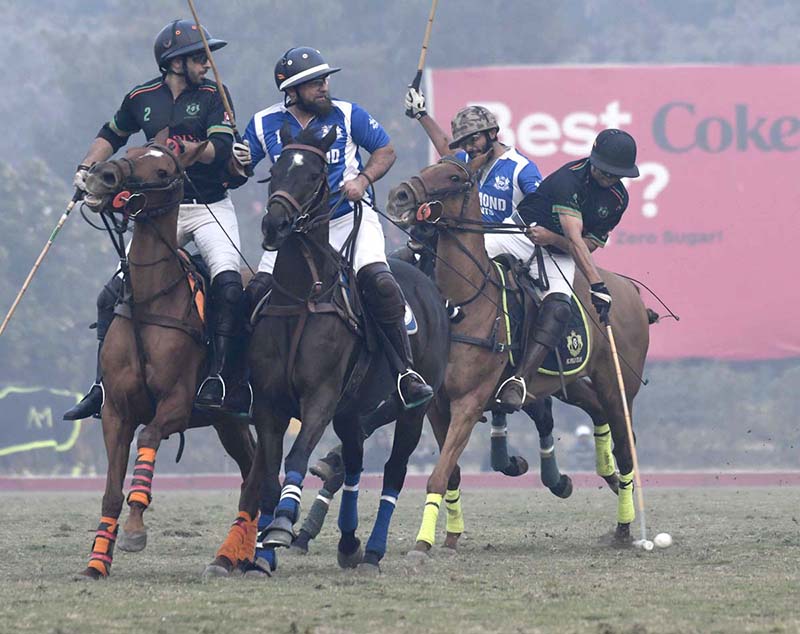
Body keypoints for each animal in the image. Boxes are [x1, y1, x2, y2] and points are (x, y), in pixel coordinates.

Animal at [76, 132, 253, 576]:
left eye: (162, 170)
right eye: (131, 152)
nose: (102, 176)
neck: (150, 300)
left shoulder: (176, 403)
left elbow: (149, 436)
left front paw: (136, 530)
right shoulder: (115, 410)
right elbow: (109, 490)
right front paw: (97, 562)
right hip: (229, 421)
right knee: (254, 470)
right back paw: (240, 555)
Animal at [390, 149, 656, 552]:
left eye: (454, 177)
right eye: (429, 167)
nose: (401, 195)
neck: (461, 303)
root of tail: (630, 291)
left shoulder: (470, 401)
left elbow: (438, 473)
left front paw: (423, 543)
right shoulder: (436, 403)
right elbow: (449, 474)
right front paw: (448, 535)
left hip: (617, 383)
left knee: (626, 447)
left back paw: (625, 527)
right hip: (569, 382)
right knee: (601, 418)